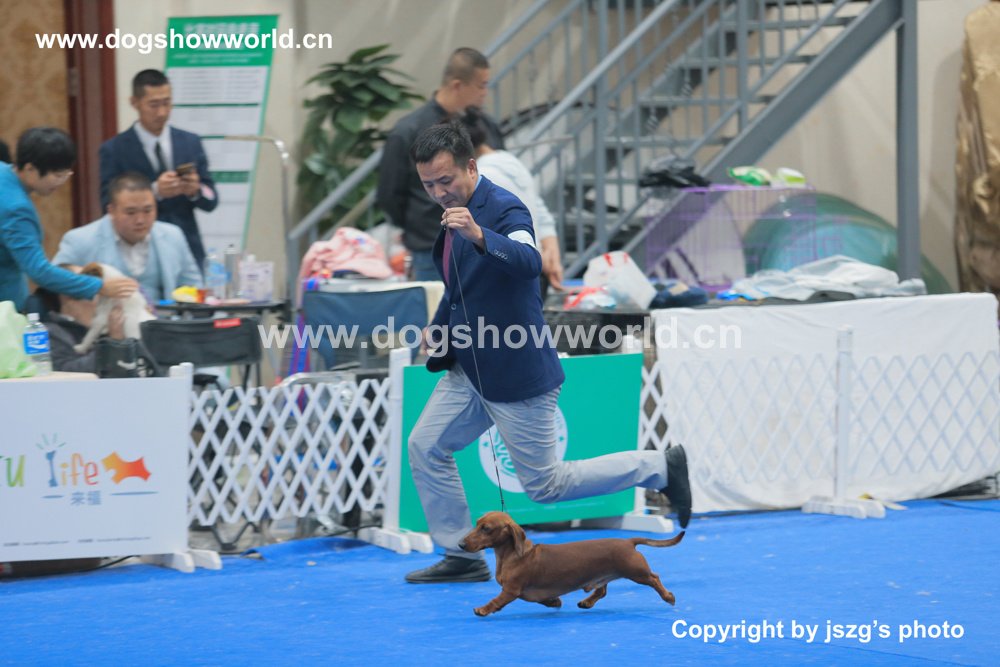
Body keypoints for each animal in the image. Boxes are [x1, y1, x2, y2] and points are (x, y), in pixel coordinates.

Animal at [458, 511, 684, 617]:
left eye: (486, 529)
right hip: (605, 575)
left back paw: (668, 596)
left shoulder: (511, 590)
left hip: (637, 572)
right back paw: (587, 602)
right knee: (601, 591)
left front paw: (482, 609)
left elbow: (496, 600)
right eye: (476, 524)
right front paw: (554, 602)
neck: (513, 554)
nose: (460, 544)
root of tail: (628, 541)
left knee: (654, 578)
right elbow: (543, 599)